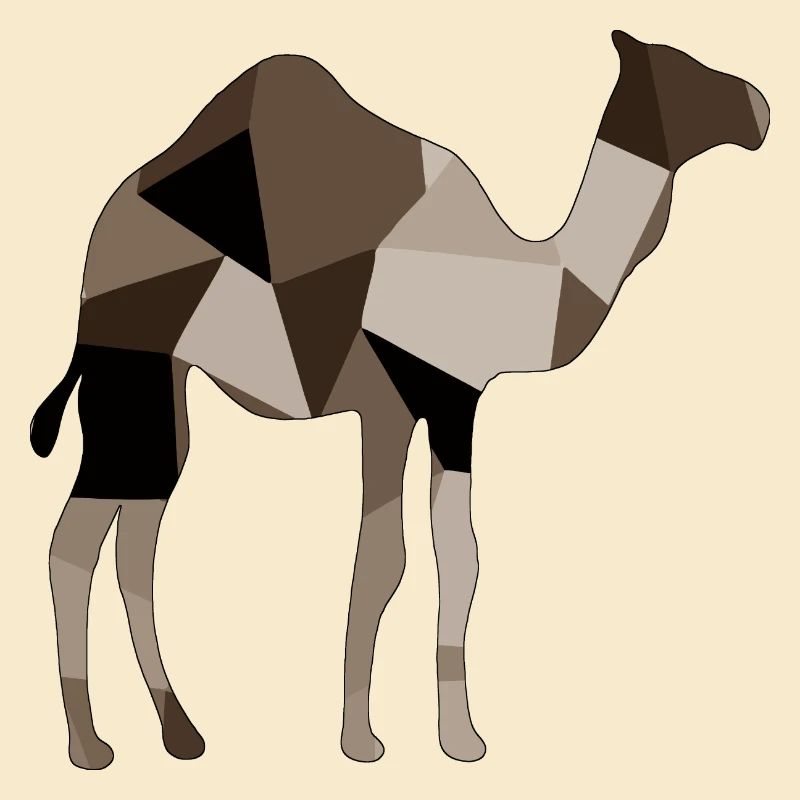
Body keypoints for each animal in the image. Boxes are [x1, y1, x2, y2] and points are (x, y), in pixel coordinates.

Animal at [30, 30, 769, 768]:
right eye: (687, 71)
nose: (761, 107)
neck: (518, 278)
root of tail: (97, 257)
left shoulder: (425, 405)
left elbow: (430, 557)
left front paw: (421, 736)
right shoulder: (418, 400)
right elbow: (413, 557)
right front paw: (399, 740)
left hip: (161, 389)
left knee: (135, 539)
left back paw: (179, 733)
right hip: (131, 368)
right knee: (77, 542)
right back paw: (89, 745)